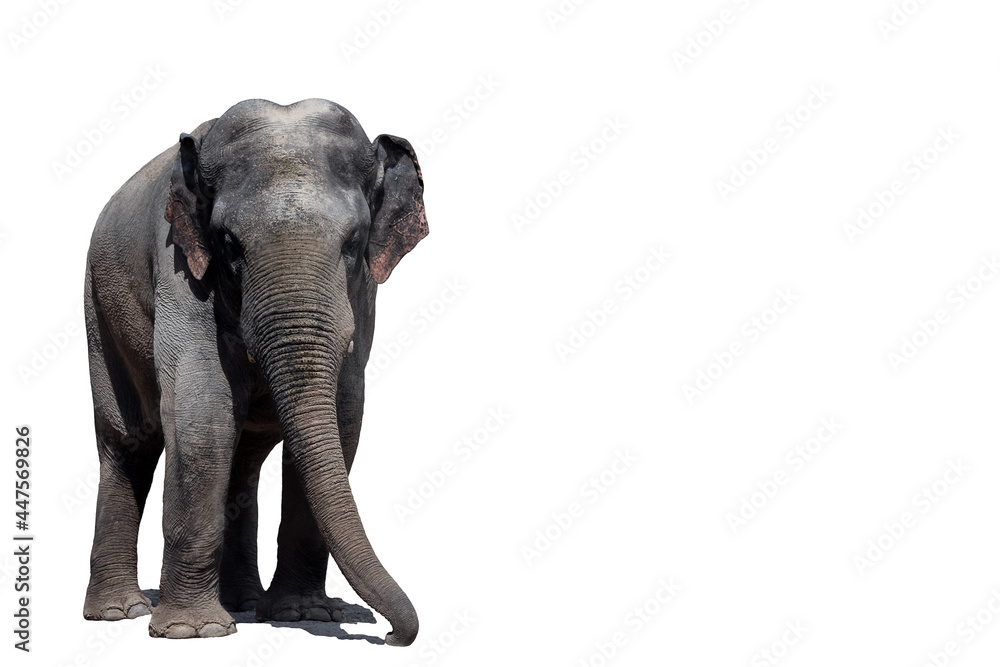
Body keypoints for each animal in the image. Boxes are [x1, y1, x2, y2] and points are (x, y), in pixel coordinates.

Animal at [81, 98, 428, 644]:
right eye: (229, 244)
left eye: (353, 243)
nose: (393, 635)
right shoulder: (180, 265)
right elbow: (203, 414)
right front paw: (194, 632)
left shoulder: (364, 294)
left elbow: (344, 418)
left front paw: (304, 615)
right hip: (99, 306)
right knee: (128, 441)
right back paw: (122, 612)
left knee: (243, 459)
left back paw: (244, 605)